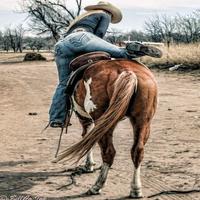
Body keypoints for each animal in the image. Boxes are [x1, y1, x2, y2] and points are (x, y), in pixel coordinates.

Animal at [54, 56, 158, 198]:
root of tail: (127, 72)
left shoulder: (85, 119)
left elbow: (87, 139)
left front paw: (89, 165)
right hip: (142, 121)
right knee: (137, 151)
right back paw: (136, 189)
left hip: (103, 122)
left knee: (108, 152)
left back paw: (96, 186)